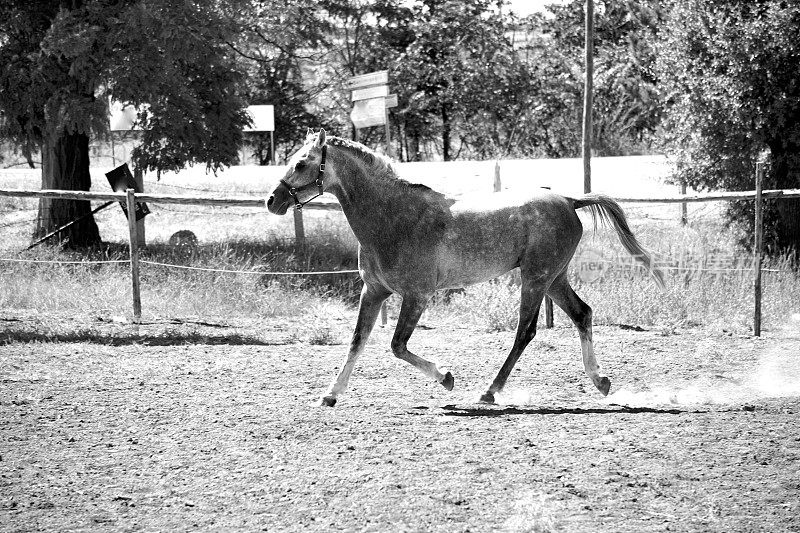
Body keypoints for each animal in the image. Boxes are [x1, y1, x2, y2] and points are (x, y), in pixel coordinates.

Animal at [266, 130, 664, 408]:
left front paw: (446, 378)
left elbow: (397, 345)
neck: (393, 218)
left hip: (535, 278)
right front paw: (330, 395)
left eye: (301, 163)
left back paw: (489, 392)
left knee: (526, 330)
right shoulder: (374, 291)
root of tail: (568, 199)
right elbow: (357, 341)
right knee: (582, 314)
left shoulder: (417, 295)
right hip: (554, 278)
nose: (273, 200)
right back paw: (600, 382)